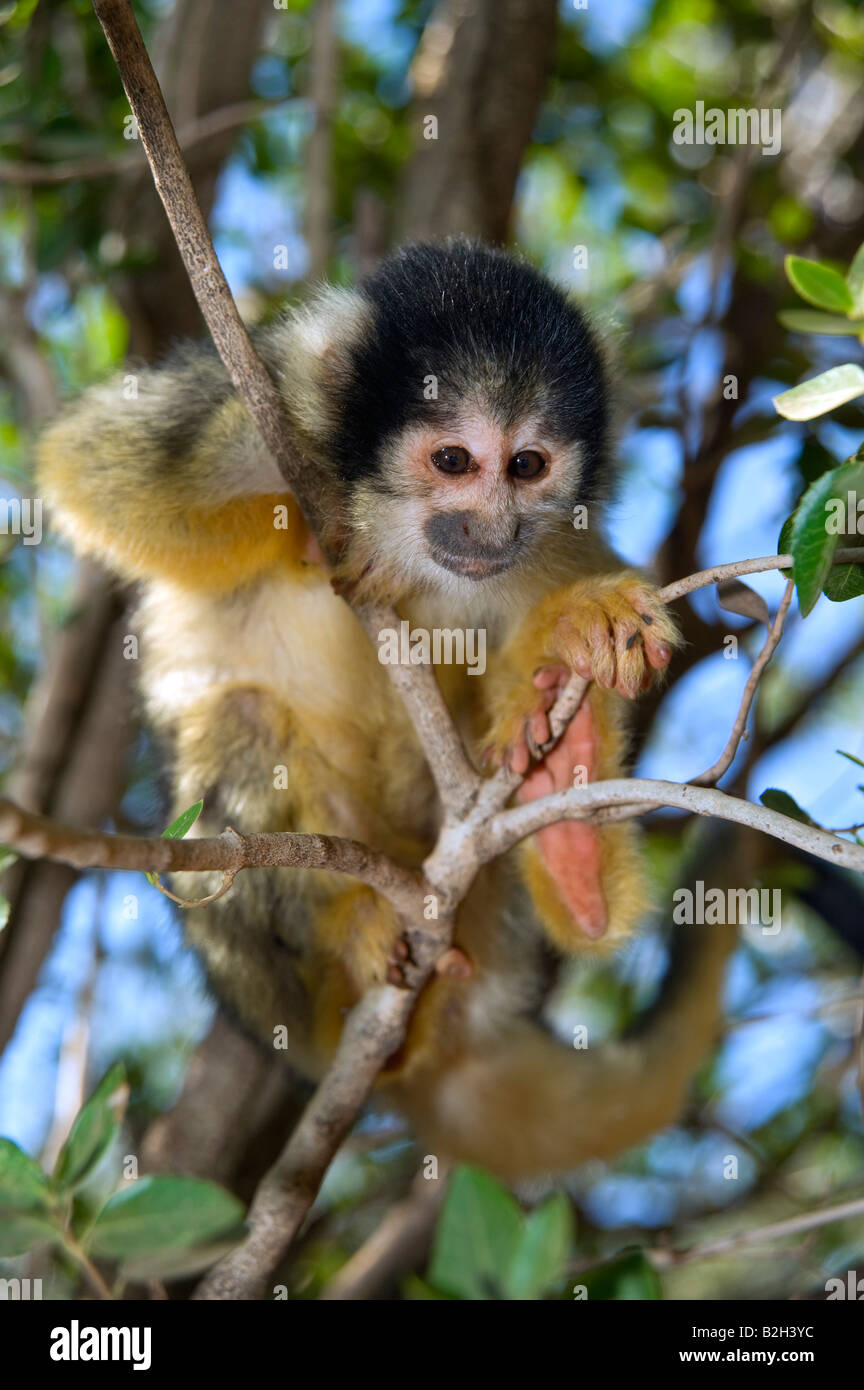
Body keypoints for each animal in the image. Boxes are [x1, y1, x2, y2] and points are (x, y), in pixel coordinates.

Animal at [38, 244, 733, 1178]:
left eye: (527, 467)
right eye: (453, 461)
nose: (491, 532)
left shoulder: (557, 539)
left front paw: (572, 634)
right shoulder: (261, 386)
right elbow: (86, 467)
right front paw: (321, 515)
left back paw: (568, 822)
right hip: (266, 1001)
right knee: (241, 721)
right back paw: (351, 961)